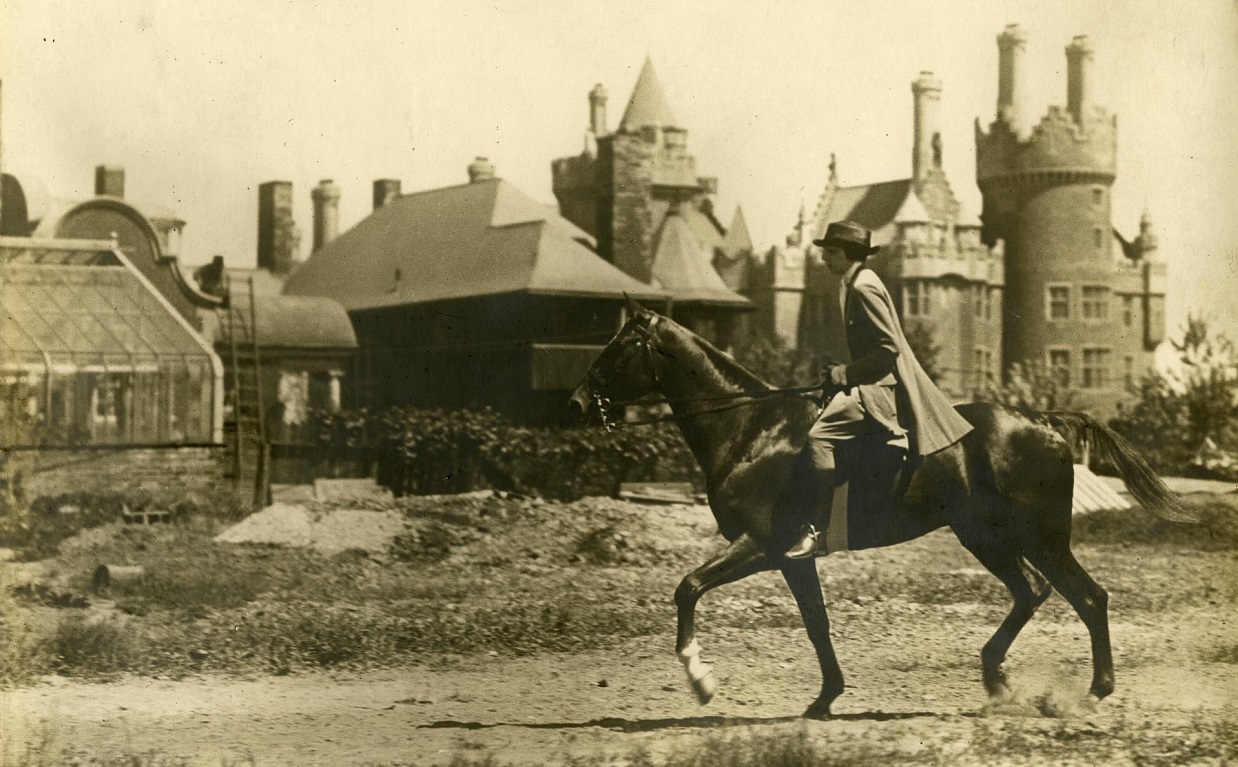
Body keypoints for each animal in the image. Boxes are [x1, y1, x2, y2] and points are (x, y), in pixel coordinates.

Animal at [569, 300, 1188, 717]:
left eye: (618, 346)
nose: (575, 403)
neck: (750, 428)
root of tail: (1045, 420)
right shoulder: (789, 557)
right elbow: (814, 623)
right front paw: (825, 698)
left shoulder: (766, 546)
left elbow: (691, 587)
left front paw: (700, 679)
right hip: (984, 537)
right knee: (1032, 592)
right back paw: (997, 680)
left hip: (1038, 537)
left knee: (1087, 596)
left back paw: (1093, 690)